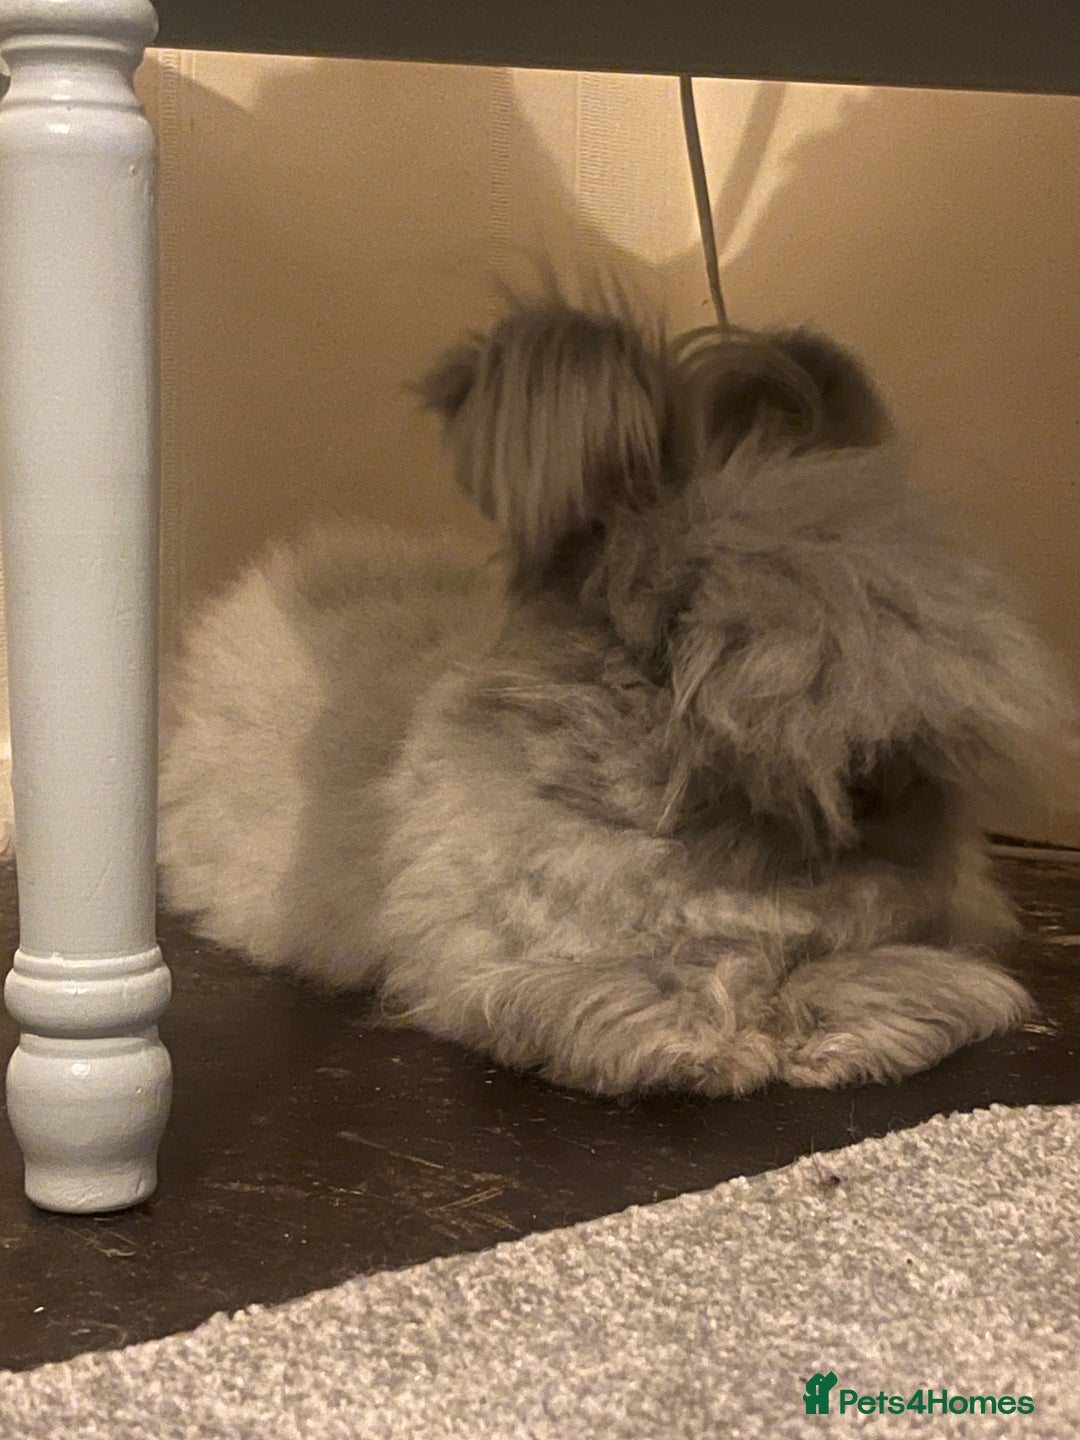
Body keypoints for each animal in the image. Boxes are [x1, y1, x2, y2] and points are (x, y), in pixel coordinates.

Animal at [158, 292, 1074, 1097]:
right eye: (669, 637)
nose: (885, 794)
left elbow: (905, 976)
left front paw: (837, 1041)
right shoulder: (498, 961)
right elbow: (631, 984)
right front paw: (711, 1048)